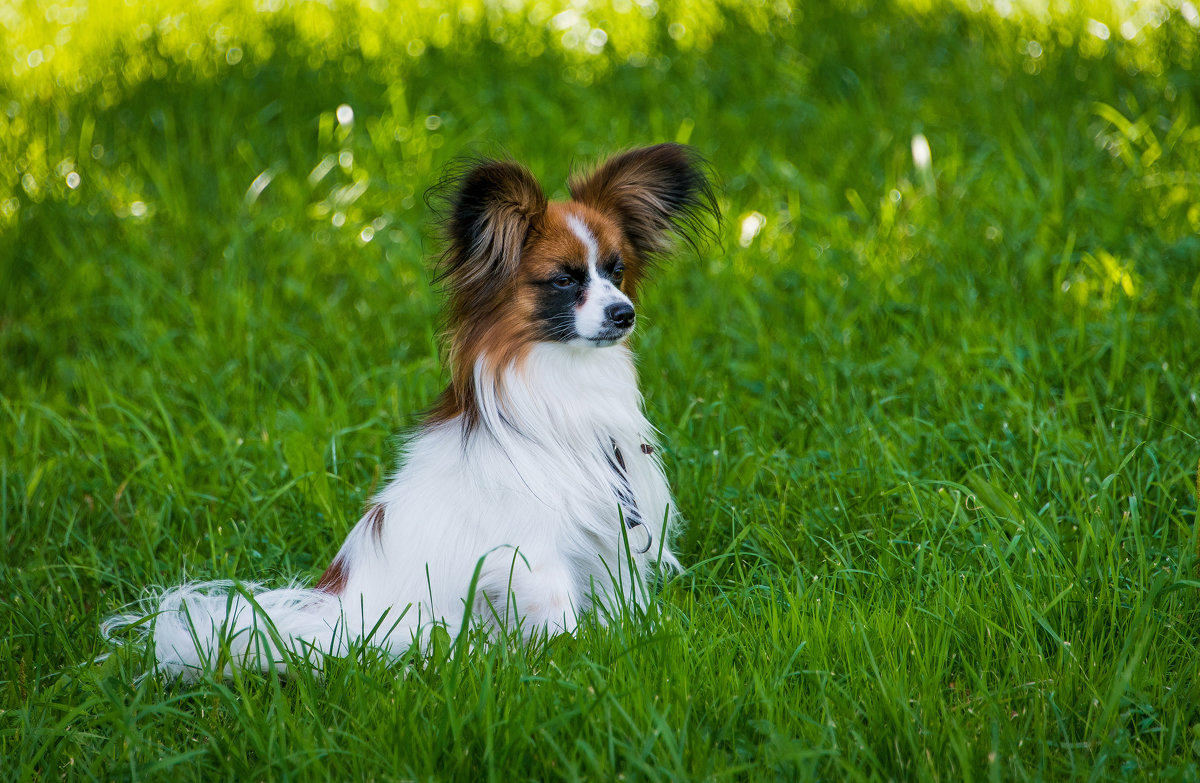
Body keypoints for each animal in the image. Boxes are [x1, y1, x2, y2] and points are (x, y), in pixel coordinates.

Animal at [105, 143, 710, 677]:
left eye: (617, 271)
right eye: (564, 280)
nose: (624, 313)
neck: (568, 384)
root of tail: (330, 622)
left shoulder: (611, 540)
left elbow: (624, 603)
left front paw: (641, 640)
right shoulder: (535, 556)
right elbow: (563, 621)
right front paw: (579, 665)